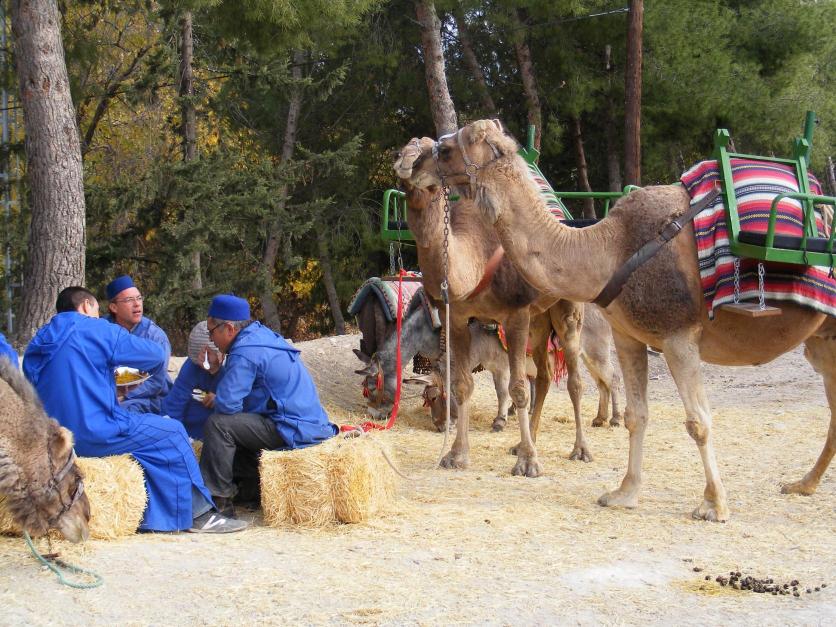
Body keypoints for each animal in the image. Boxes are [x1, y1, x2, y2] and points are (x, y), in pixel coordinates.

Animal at [391, 148, 621, 477]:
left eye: (423, 153)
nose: (404, 164)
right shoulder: (458, 319)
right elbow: (465, 384)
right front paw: (456, 455)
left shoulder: (515, 317)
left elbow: (516, 389)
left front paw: (527, 462)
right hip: (539, 323)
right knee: (546, 376)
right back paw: (526, 441)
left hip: (567, 316)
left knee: (579, 381)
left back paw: (582, 447)